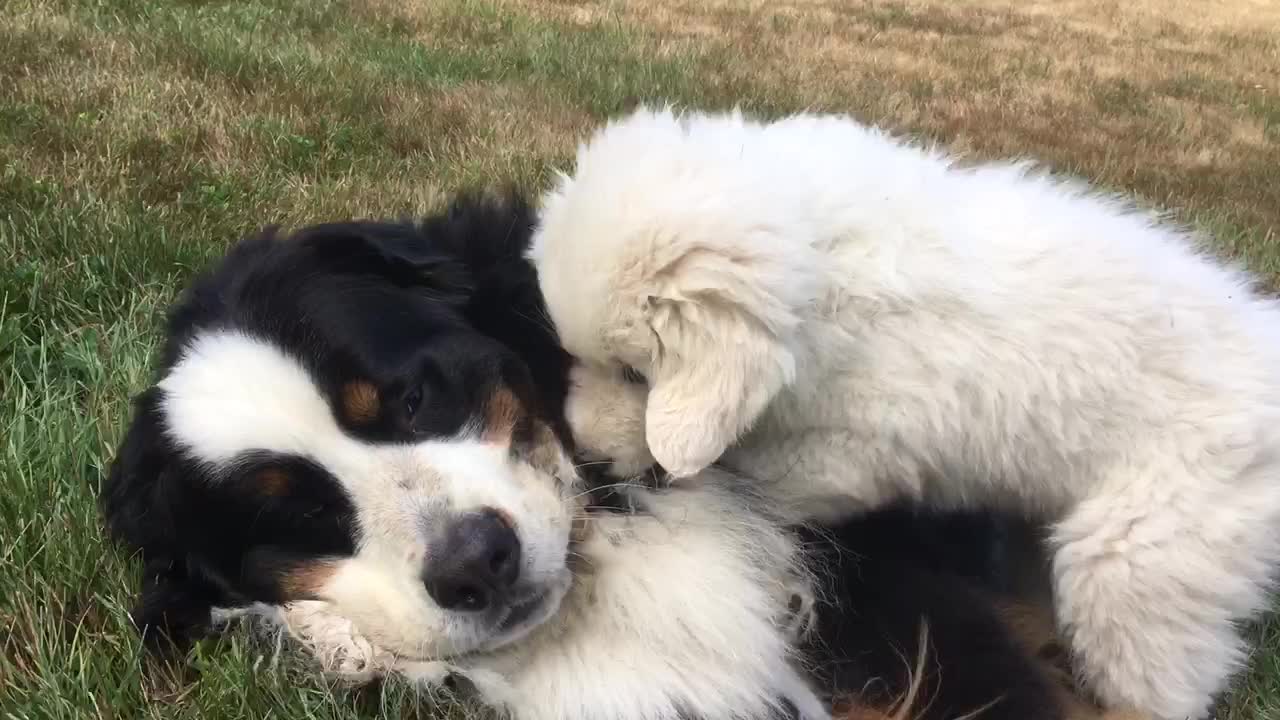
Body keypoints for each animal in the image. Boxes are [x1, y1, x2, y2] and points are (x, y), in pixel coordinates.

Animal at [527, 106, 1280, 717]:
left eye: (635, 373)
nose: (589, 456)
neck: (817, 263)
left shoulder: (855, 448)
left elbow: (767, 478)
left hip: (1140, 565)